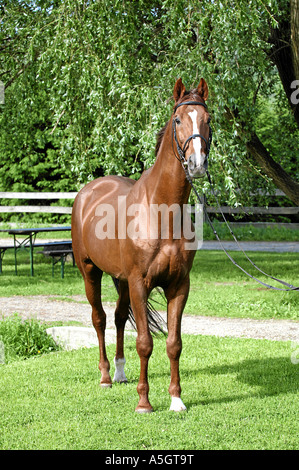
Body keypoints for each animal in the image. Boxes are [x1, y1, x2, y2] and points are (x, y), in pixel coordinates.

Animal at [71, 78, 212, 412]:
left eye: (208, 119)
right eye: (178, 120)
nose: (197, 164)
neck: (162, 213)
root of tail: (89, 191)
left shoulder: (178, 285)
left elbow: (174, 344)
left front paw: (176, 400)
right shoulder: (139, 282)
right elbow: (145, 343)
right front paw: (144, 403)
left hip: (121, 280)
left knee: (120, 318)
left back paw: (121, 373)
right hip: (90, 272)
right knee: (99, 319)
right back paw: (106, 376)